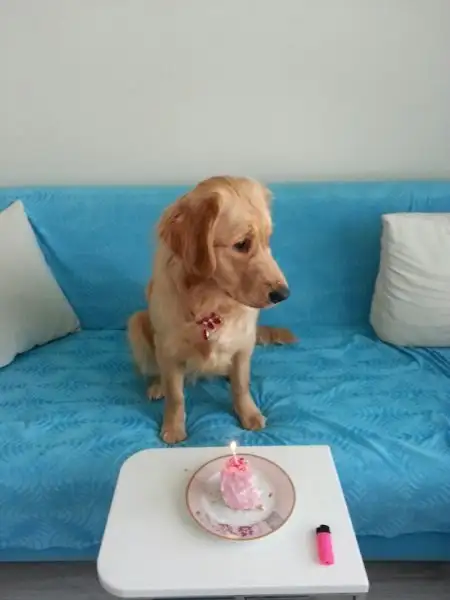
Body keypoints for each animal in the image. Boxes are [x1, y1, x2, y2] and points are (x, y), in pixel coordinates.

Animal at [128, 176, 296, 443]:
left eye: (267, 240)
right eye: (241, 244)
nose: (284, 294)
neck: (210, 302)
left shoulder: (243, 345)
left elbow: (241, 385)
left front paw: (249, 414)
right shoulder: (168, 350)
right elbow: (176, 396)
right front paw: (173, 427)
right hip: (136, 323)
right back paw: (157, 385)